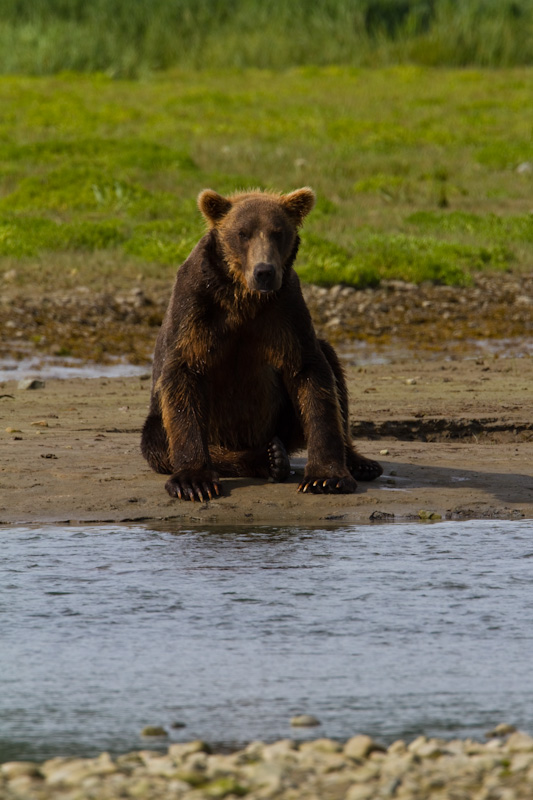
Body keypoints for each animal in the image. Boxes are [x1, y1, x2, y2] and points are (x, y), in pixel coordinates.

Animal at [140, 188, 382, 500]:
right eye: (242, 233)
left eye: (278, 232)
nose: (264, 271)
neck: (243, 296)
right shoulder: (196, 307)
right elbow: (183, 377)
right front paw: (194, 482)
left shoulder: (284, 311)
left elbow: (311, 376)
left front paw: (325, 478)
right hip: (160, 422)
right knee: (161, 445)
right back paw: (269, 457)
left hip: (284, 421)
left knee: (331, 366)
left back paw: (356, 462)